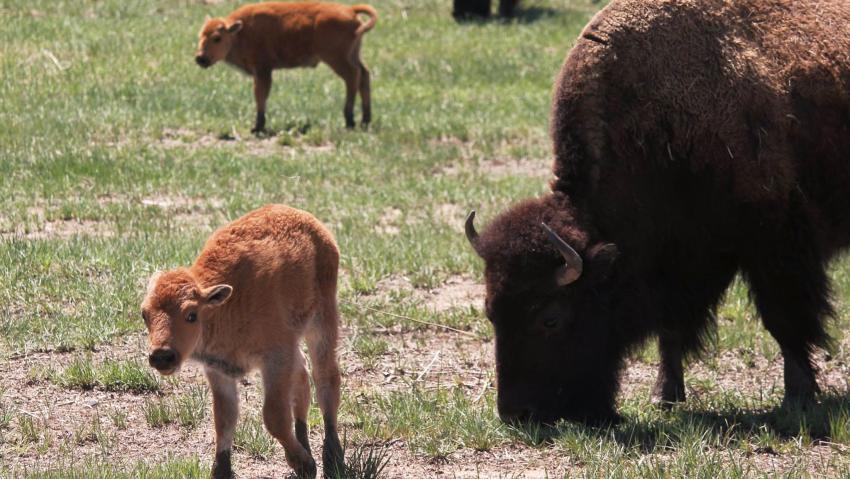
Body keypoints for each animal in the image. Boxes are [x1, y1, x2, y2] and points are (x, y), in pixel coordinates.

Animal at [465, 0, 850, 424]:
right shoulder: (675, 262)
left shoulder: (775, 245)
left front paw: (798, 397)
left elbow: (784, 320)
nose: (516, 412)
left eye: (550, 318)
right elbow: (671, 329)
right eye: (490, 311)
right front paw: (664, 396)